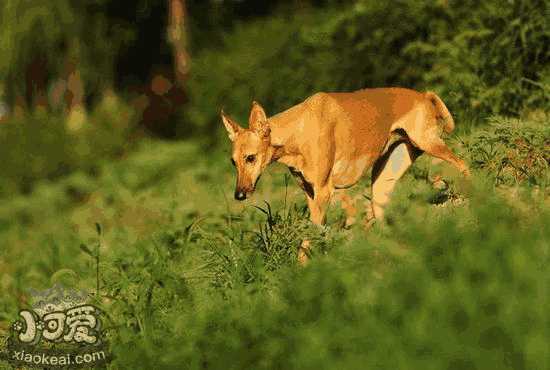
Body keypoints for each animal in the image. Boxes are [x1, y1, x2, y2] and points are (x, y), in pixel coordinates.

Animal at [222, 87, 472, 264]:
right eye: (234, 162)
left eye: (251, 158)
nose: (239, 195)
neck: (298, 130)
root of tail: (424, 95)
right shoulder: (311, 195)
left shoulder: (324, 192)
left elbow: (310, 237)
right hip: (381, 184)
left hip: (431, 144)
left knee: (463, 164)